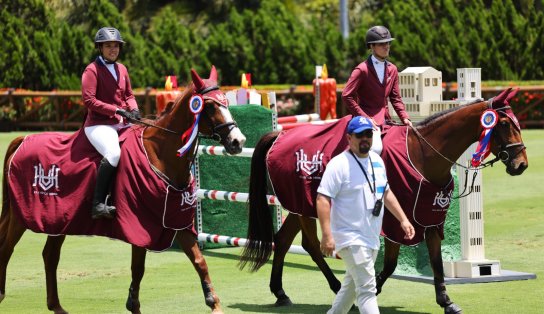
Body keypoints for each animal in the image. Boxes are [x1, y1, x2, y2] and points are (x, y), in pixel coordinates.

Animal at [0, 65, 246, 312]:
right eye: (210, 105)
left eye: (226, 101)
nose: (238, 141)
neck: (160, 155)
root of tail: (23, 140)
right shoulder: (139, 225)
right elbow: (138, 268)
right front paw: (133, 305)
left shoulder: (177, 222)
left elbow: (199, 262)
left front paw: (214, 303)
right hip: (22, 217)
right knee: (7, 248)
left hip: (57, 219)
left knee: (50, 255)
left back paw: (56, 306)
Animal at [239, 87, 528, 312]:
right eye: (504, 124)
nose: (521, 164)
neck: (423, 155)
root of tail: (280, 134)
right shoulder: (394, 222)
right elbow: (389, 265)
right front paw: (367, 294)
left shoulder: (429, 217)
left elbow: (436, 263)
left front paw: (446, 301)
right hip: (305, 204)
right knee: (311, 245)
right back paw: (334, 286)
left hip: (299, 206)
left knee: (283, 240)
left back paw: (280, 293)